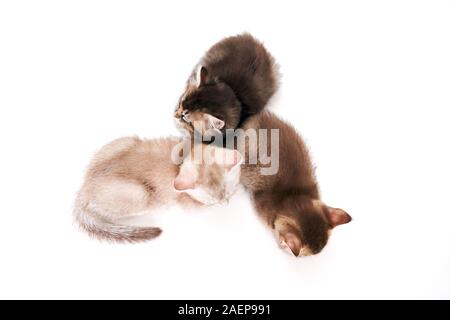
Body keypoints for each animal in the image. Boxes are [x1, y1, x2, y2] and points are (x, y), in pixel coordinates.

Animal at [74, 136, 243, 242]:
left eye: (226, 192)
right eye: (210, 200)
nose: (225, 203)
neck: (182, 159)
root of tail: (83, 190)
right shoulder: (190, 206)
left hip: (125, 141)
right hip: (138, 194)